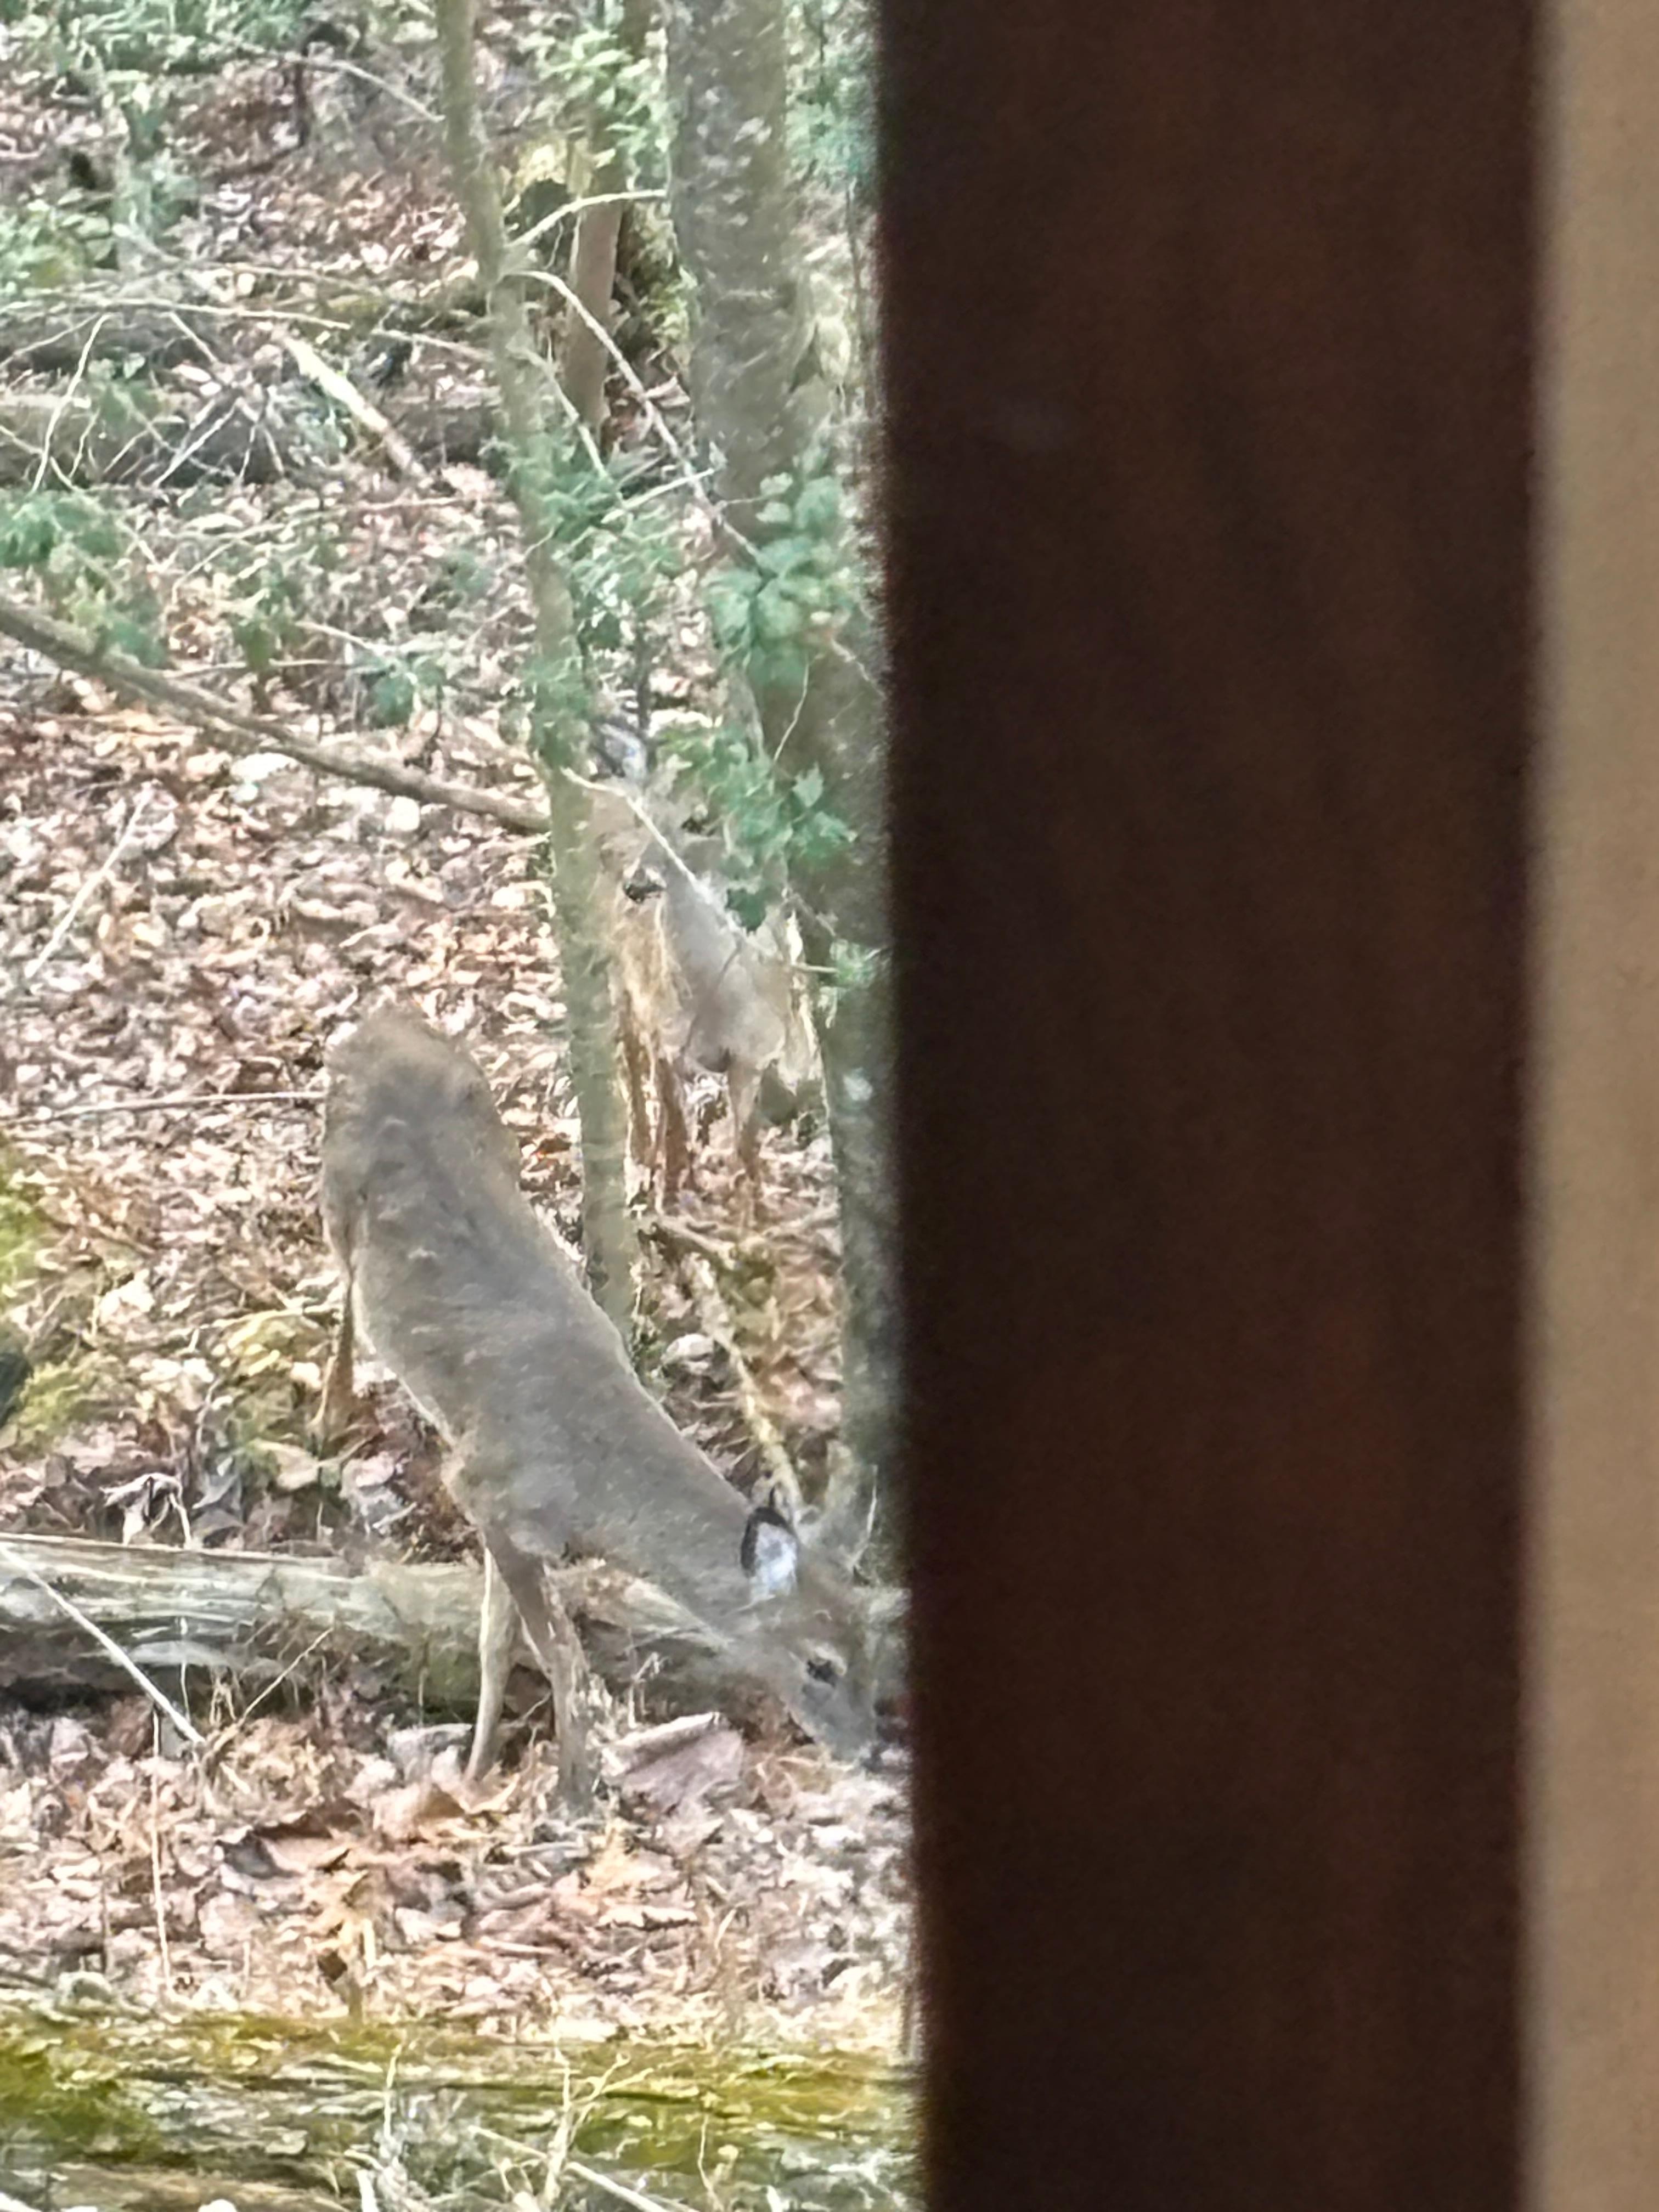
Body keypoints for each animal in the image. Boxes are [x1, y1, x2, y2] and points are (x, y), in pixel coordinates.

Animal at [318, 1004, 878, 1804]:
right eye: (819, 1663)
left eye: (871, 1643)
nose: (869, 1749)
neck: (592, 1487)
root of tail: (372, 1026)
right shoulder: (484, 1484)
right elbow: (553, 1653)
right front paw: (567, 1780)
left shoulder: (508, 1519)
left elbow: (497, 1640)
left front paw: (480, 1770)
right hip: (336, 1193)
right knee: (343, 1295)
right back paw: (330, 1410)